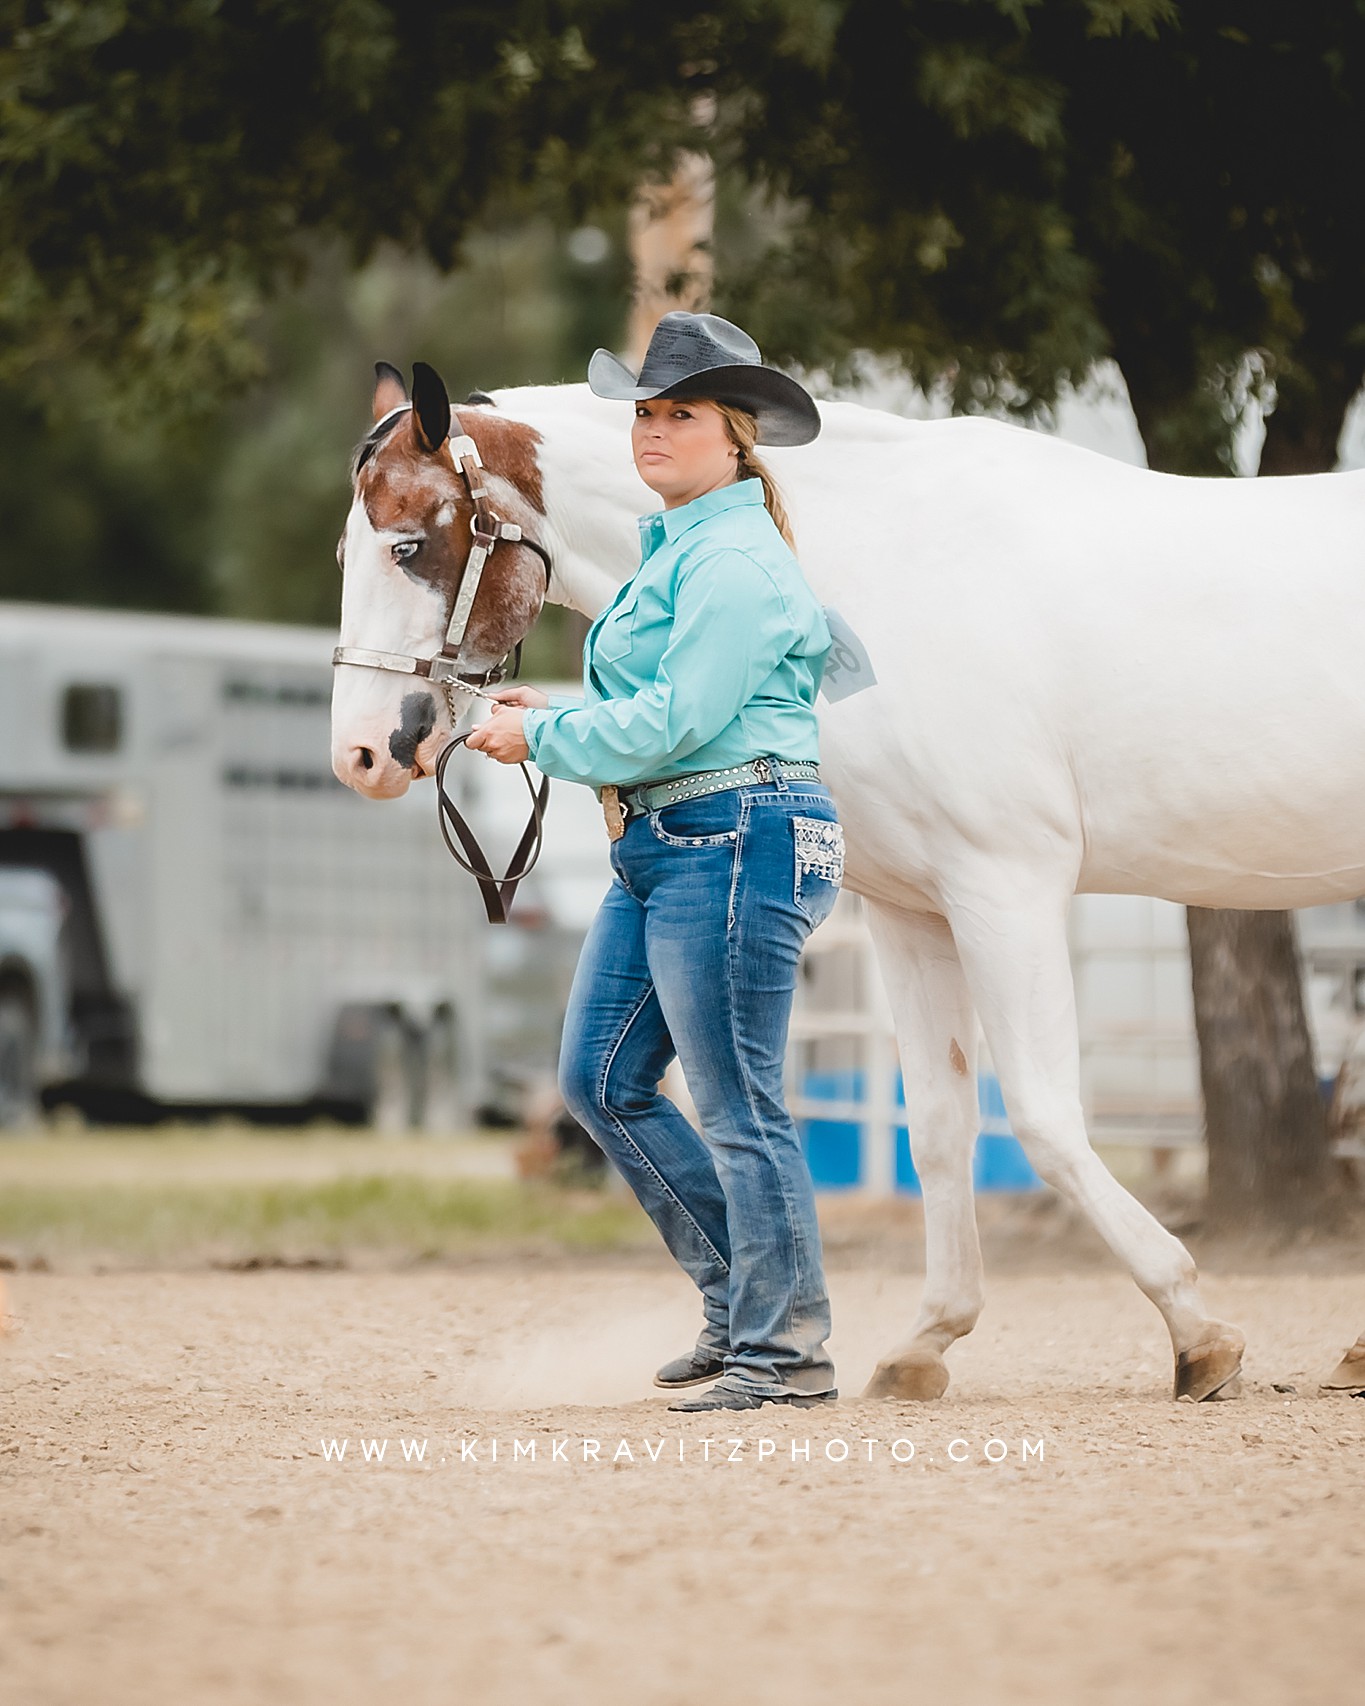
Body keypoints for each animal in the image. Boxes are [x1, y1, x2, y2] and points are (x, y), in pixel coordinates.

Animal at [327, 359, 1365, 1398]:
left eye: (409, 545)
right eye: (347, 550)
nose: (364, 755)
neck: (879, 567)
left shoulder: (1006, 888)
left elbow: (1042, 1118)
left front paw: (1196, 1333)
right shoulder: (916, 913)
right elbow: (938, 1126)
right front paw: (925, 1342)